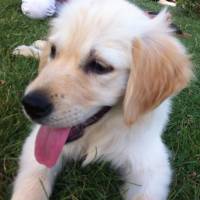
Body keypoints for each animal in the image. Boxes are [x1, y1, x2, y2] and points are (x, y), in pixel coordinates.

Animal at [10, 0, 192, 200]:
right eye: (54, 51)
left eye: (99, 66)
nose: (30, 105)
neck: (99, 131)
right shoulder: (35, 143)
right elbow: (31, 184)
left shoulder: (151, 165)